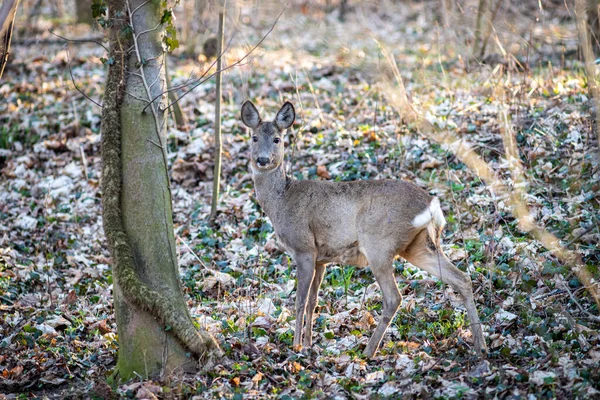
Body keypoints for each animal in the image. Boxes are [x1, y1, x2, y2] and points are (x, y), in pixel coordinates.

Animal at [239, 101, 488, 358]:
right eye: (254, 137)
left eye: (277, 139)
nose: (262, 159)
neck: (281, 201)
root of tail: (431, 206)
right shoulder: (321, 258)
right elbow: (313, 302)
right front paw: (308, 344)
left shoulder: (304, 248)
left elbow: (300, 301)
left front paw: (296, 346)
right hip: (419, 246)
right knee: (461, 278)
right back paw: (481, 345)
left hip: (378, 243)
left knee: (393, 297)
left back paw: (368, 351)